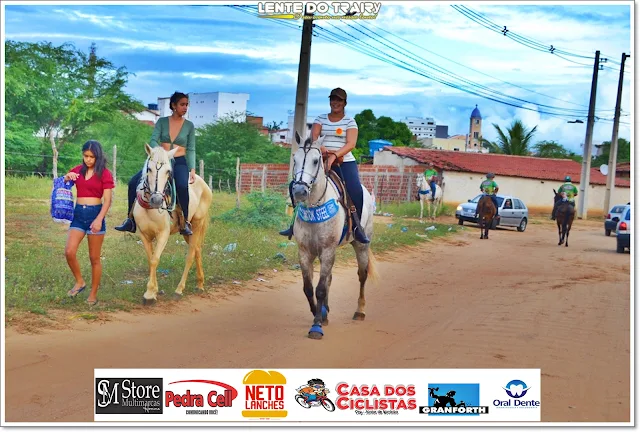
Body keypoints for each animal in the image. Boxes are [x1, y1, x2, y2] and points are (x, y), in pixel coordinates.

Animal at [134, 145, 214, 304]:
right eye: (149, 169)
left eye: (168, 172)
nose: (157, 200)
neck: (149, 208)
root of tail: (204, 185)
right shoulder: (144, 235)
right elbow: (151, 259)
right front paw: (154, 291)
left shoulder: (163, 234)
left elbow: (155, 260)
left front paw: (149, 294)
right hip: (186, 232)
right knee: (197, 250)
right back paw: (200, 284)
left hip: (197, 224)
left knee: (191, 254)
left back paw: (179, 290)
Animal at [292, 130, 378, 340]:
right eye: (294, 159)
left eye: (316, 161)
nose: (299, 190)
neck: (315, 206)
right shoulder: (304, 252)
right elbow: (309, 288)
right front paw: (320, 314)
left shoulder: (328, 250)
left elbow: (320, 289)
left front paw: (316, 325)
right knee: (329, 278)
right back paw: (326, 310)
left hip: (361, 245)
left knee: (362, 275)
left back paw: (359, 311)